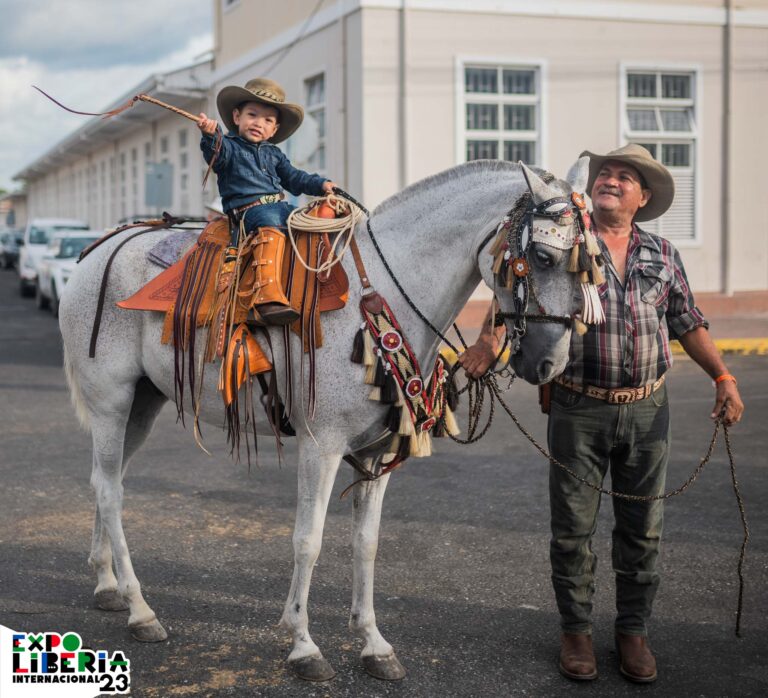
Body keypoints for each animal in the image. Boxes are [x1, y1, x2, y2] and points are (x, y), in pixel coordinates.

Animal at [61, 158, 588, 680]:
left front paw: (373, 643)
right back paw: (139, 609)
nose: (551, 364)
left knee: (104, 482)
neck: (380, 298)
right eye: (543, 257)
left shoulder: (376, 452)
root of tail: (96, 253)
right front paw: (303, 645)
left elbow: (366, 543)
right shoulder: (322, 446)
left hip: (142, 405)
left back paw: (107, 585)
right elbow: (308, 542)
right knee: (111, 492)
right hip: (111, 402)